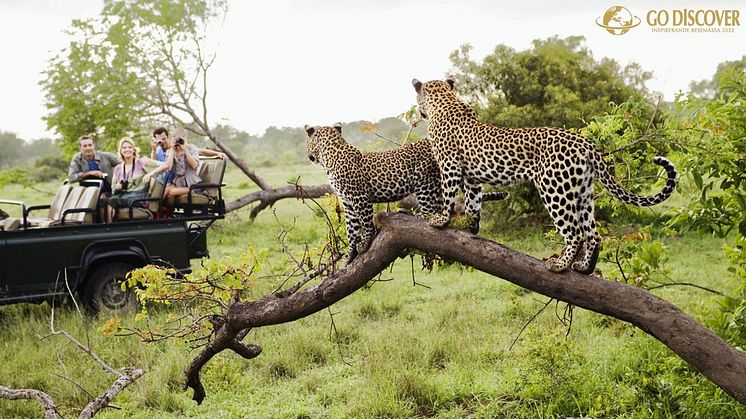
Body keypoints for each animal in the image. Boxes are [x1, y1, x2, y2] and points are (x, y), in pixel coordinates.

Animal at [304, 123, 506, 264]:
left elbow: (366, 223)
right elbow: (351, 230)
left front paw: (365, 242)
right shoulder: (347, 202)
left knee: (431, 212)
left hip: (424, 181)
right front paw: (349, 256)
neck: (329, 157)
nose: (308, 156)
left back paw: (411, 214)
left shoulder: (359, 198)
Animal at [410, 78, 676, 276]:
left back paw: (560, 265)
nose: (419, 112)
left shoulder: (449, 166)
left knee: (575, 233)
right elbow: (473, 202)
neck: (445, 101)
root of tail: (586, 143)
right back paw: (583, 267)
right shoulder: (473, 177)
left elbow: (449, 194)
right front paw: (471, 226)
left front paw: (440, 220)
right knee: (593, 234)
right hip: (582, 192)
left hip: (554, 189)